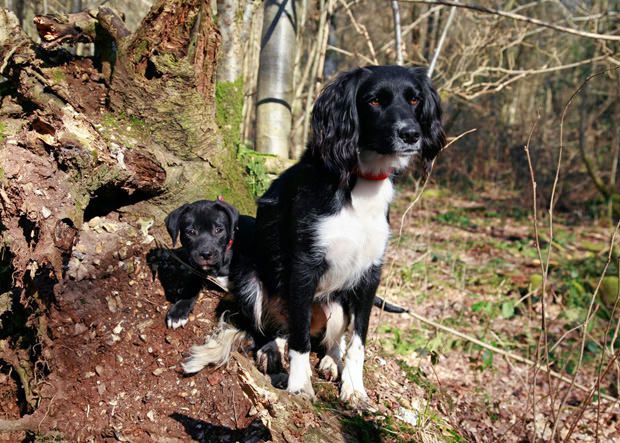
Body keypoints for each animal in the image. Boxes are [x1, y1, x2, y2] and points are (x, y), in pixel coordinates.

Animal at [182, 65, 444, 402]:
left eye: (414, 99)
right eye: (374, 101)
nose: (411, 134)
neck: (360, 181)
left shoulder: (370, 272)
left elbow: (358, 340)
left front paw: (355, 388)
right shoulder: (304, 266)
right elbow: (300, 340)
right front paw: (299, 384)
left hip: (337, 301)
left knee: (329, 335)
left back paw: (332, 359)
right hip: (253, 284)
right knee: (275, 329)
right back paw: (272, 349)